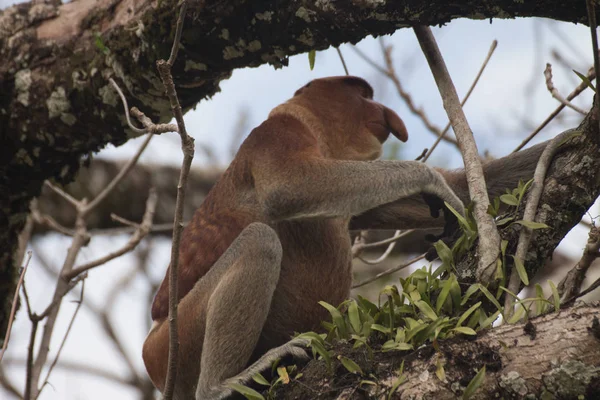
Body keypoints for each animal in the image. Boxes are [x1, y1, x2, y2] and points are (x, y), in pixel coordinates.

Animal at [144, 76, 544, 400]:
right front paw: (428, 178)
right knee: (259, 239)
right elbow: (289, 187)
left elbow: (467, 187)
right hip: (175, 344)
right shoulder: (276, 133)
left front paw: (560, 144)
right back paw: (222, 385)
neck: (318, 135)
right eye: (361, 93)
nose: (385, 112)